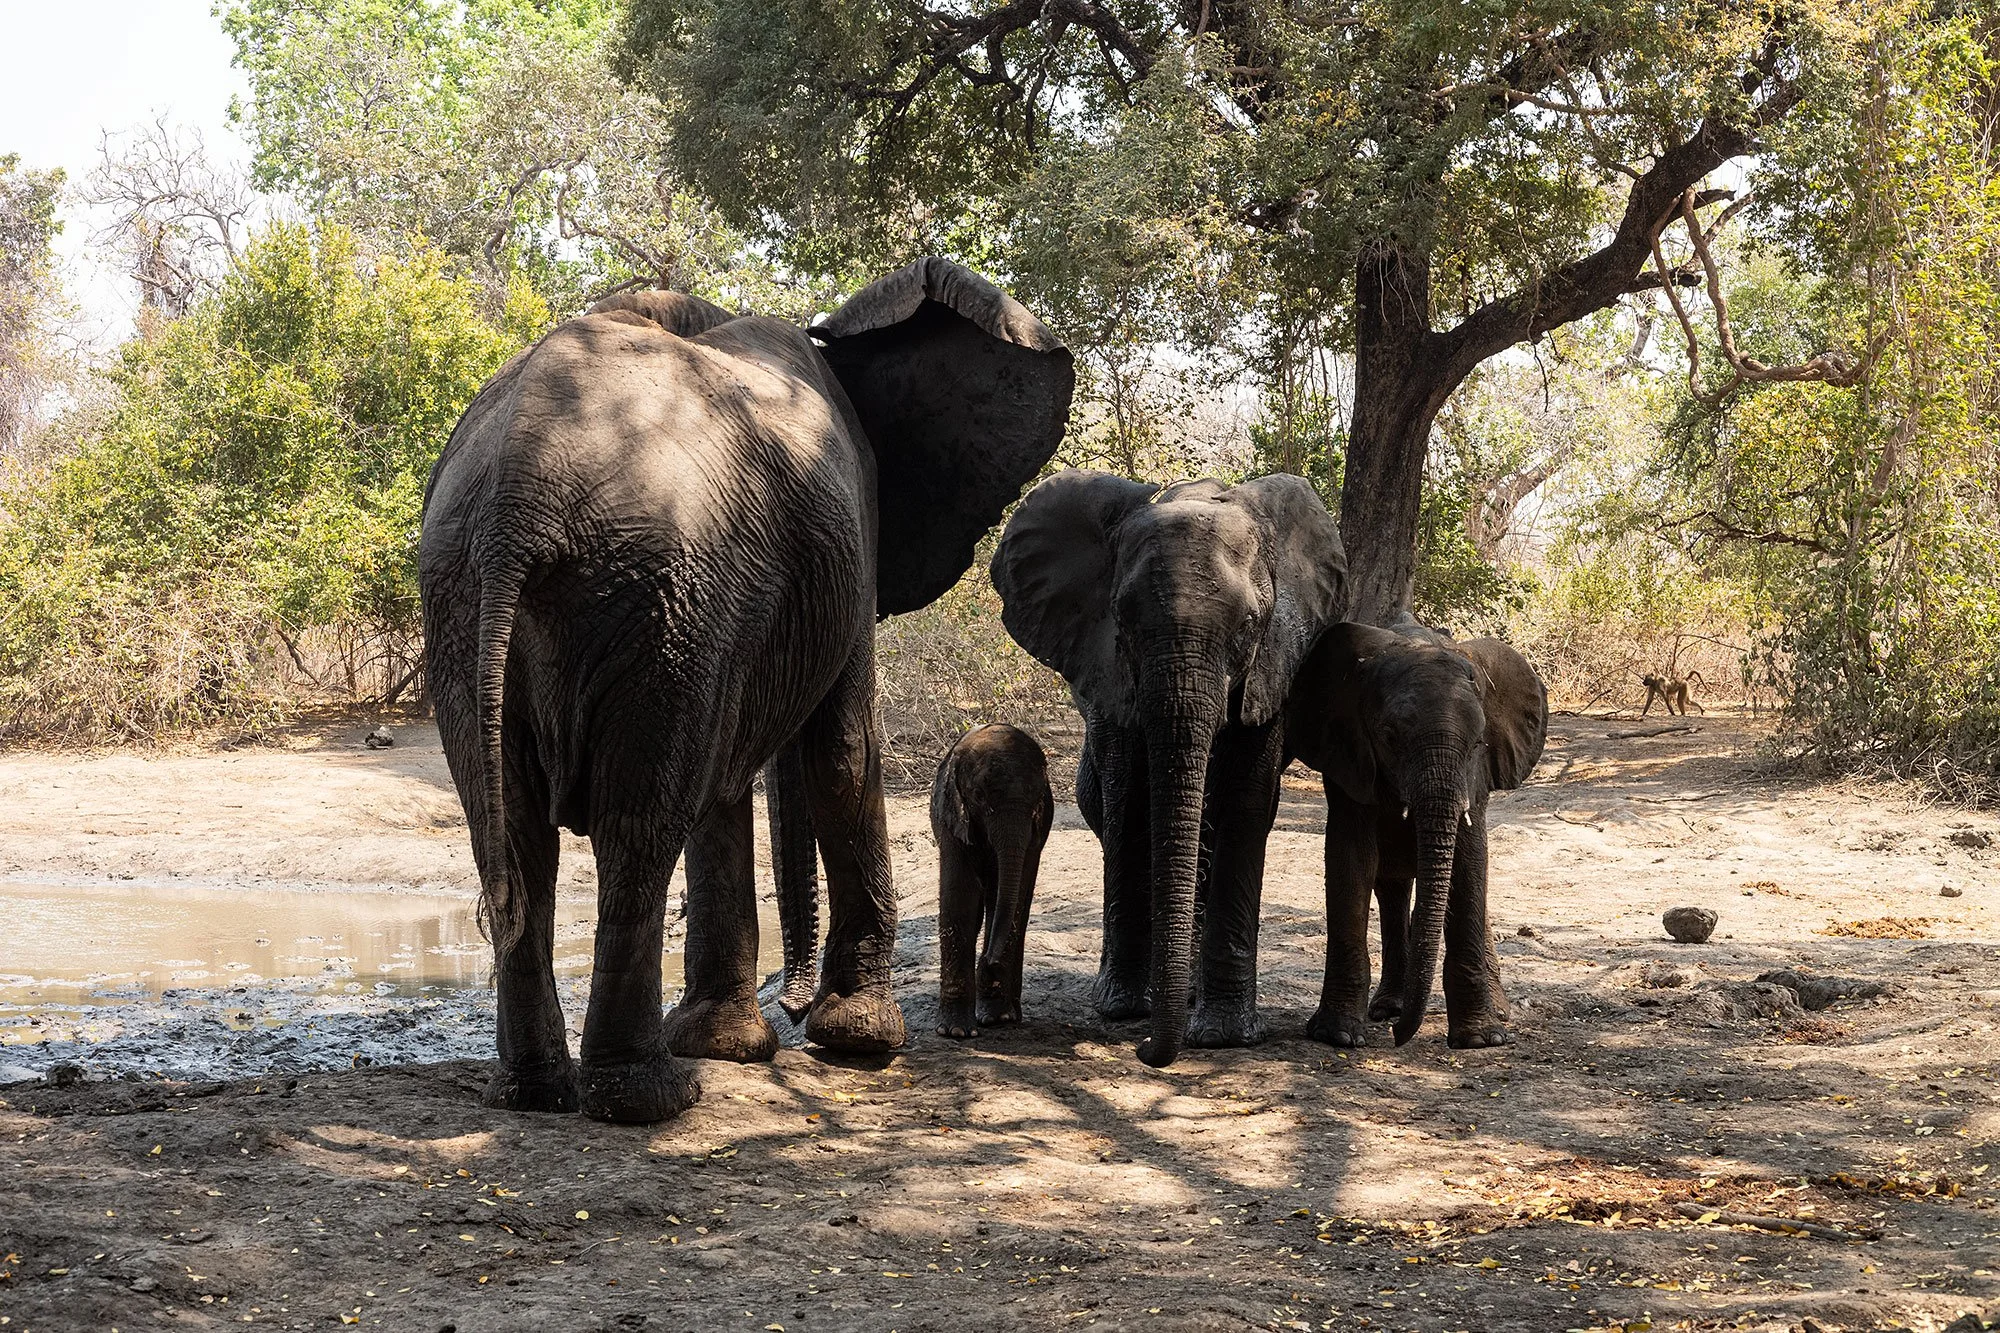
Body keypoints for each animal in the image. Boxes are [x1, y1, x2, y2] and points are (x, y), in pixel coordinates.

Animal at [930, 723, 1054, 1038]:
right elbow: (960, 899)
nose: (989, 960)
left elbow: (1012, 893)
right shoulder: (951, 818)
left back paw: (1010, 1014)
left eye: (1038, 800)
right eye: (978, 795)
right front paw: (956, 1032)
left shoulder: (1036, 831)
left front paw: (996, 1018)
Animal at [991, 472, 1347, 1067]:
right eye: (1123, 619)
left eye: (1250, 624)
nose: (1144, 1052)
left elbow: (1245, 804)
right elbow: (1130, 803)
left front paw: (1224, 1036)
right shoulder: (1109, 673)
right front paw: (1123, 1010)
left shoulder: (1271, 668)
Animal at [1284, 621, 1548, 1050]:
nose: (1396, 1037)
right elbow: (1349, 860)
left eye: (1478, 743)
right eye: (1390, 738)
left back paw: (1497, 1011)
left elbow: (1470, 863)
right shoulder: (1347, 756)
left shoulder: (1476, 779)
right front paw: (1338, 1035)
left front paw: (1480, 1038)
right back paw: (1388, 1008)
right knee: (1390, 887)